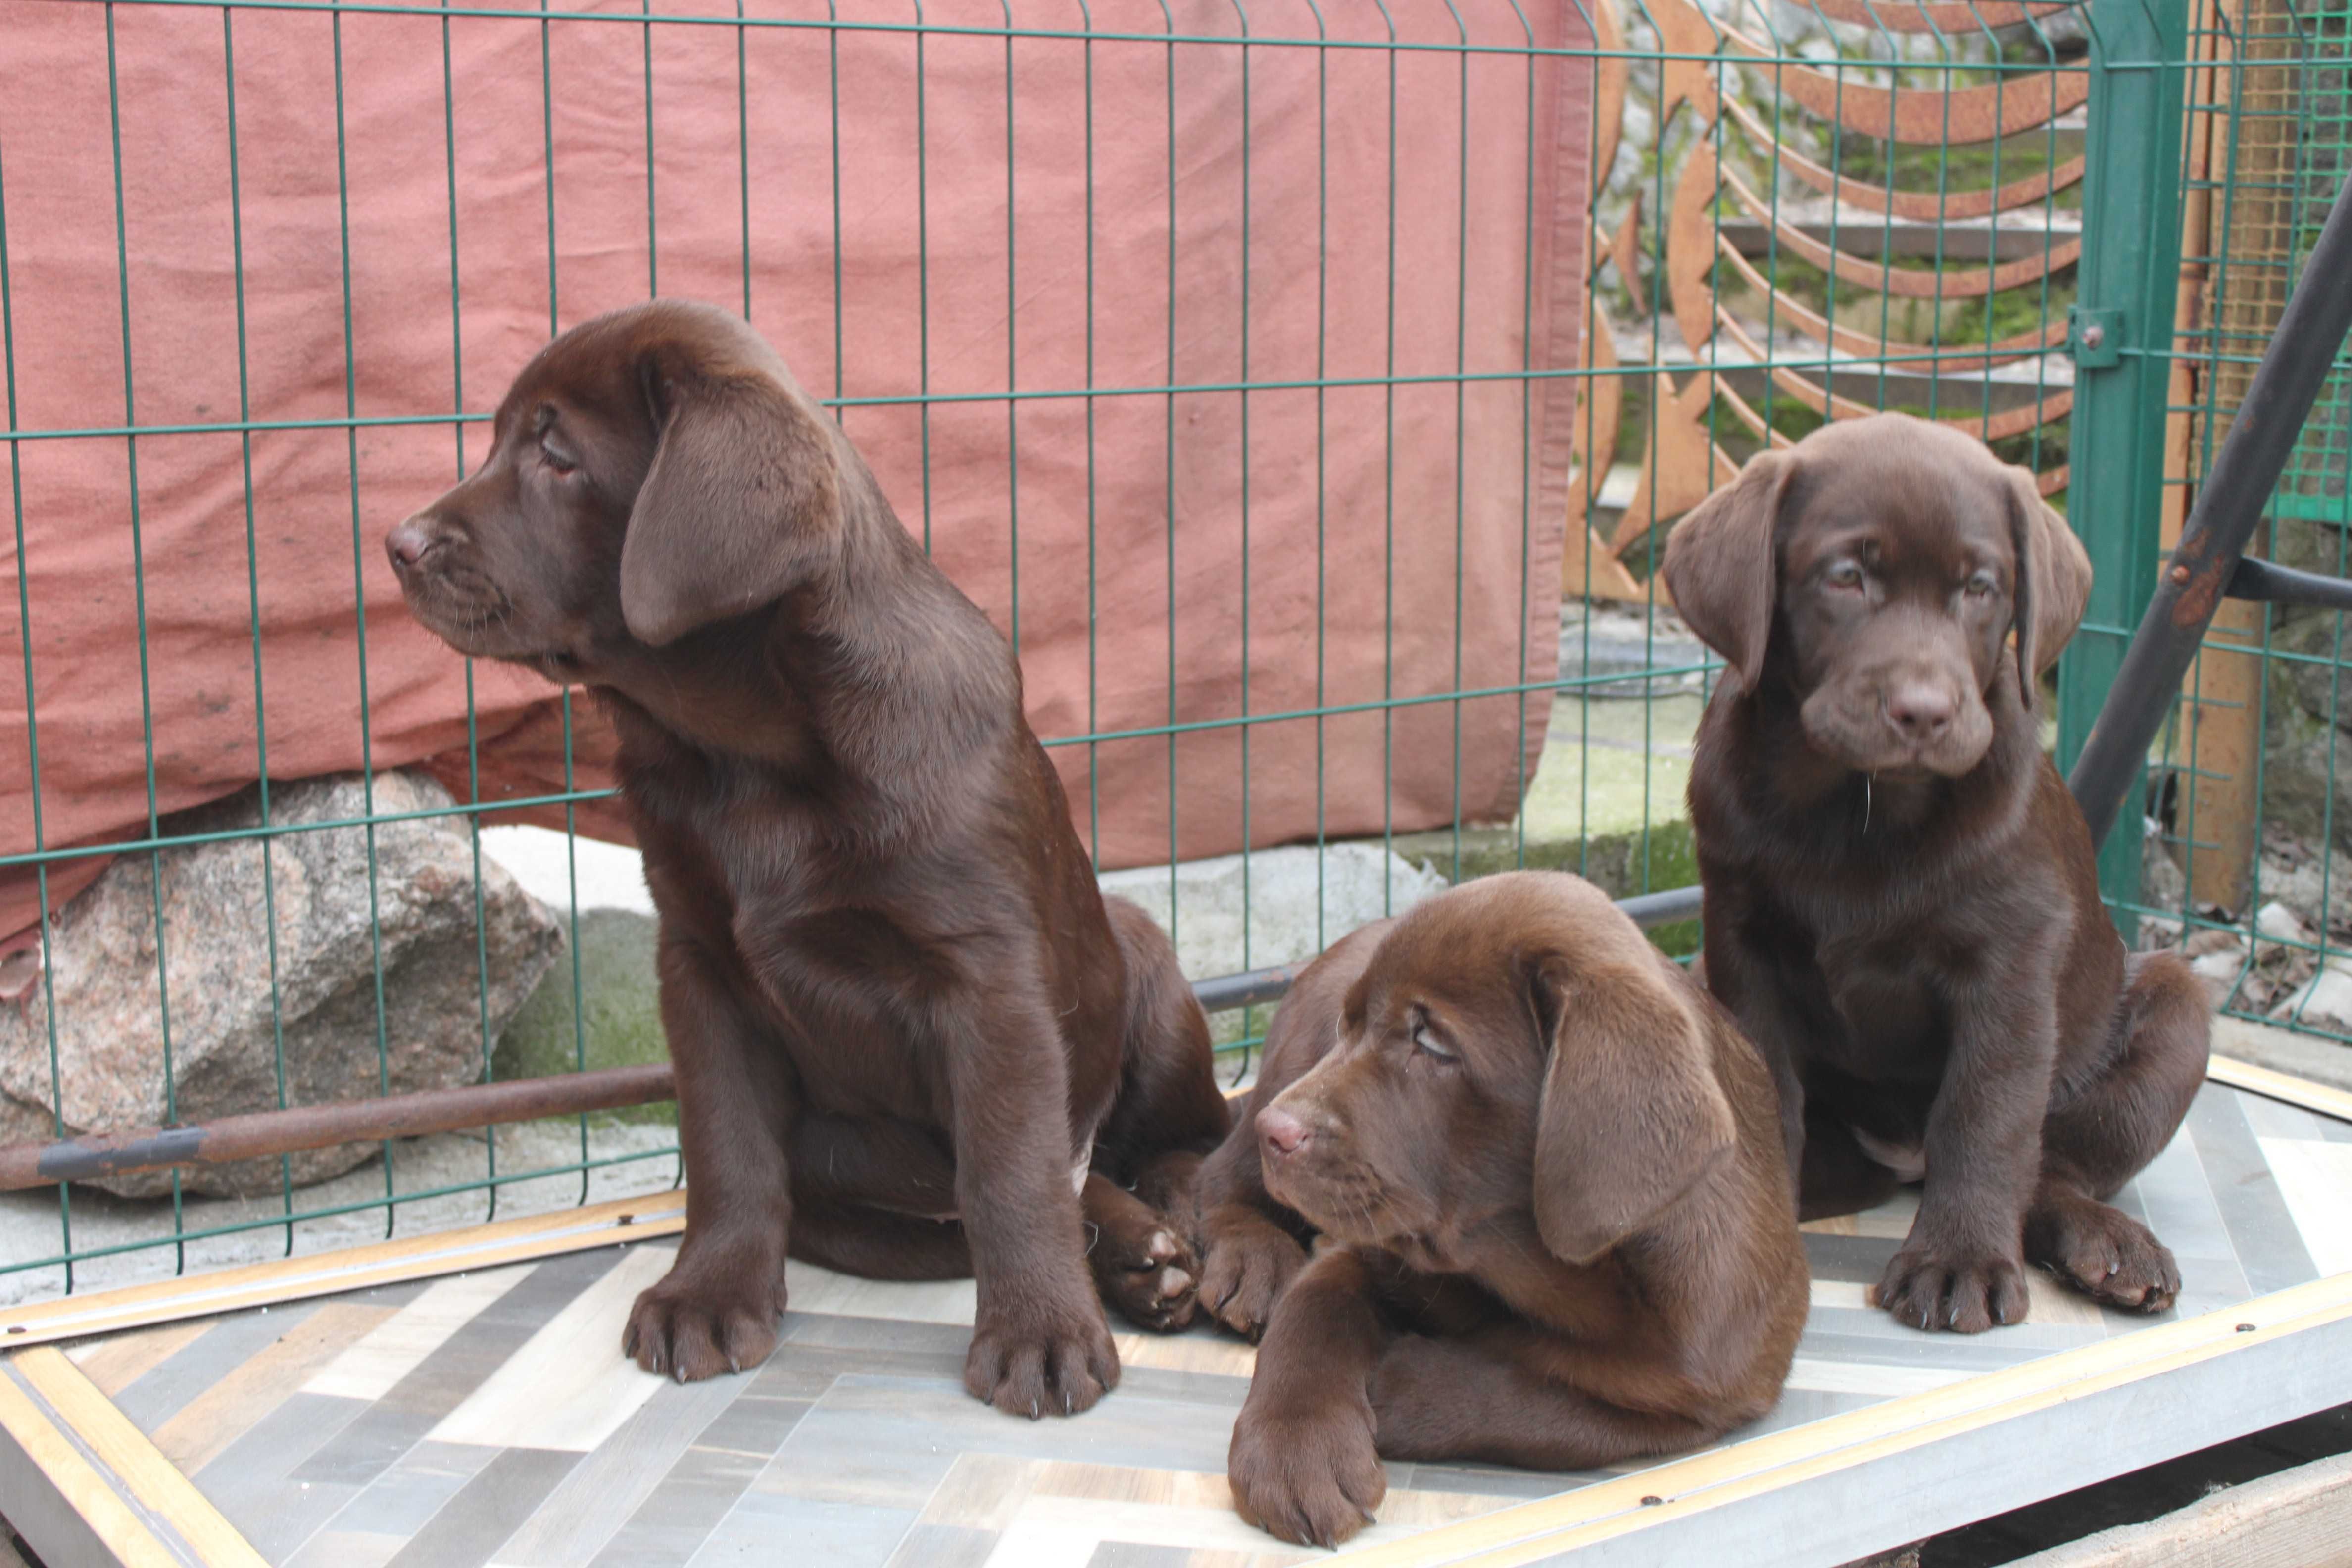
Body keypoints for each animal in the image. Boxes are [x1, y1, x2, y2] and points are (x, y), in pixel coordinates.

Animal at [1204, 879, 1806, 1551]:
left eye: (1432, 1044)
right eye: (1347, 1024)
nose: (1275, 1131)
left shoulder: (1709, 1387)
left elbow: (1556, 1412)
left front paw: (1400, 1386)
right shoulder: (1371, 1250)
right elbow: (1313, 1307)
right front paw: (1296, 1450)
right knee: (1218, 1180)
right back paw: (1252, 1263)